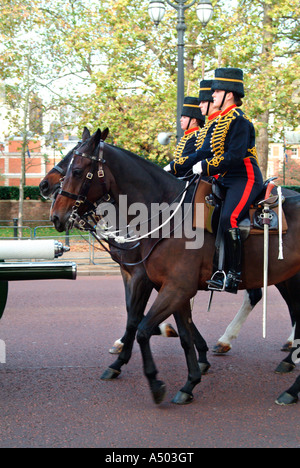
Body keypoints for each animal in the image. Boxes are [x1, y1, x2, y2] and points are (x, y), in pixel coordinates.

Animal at [50, 130, 300, 404]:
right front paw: (190, 380)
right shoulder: (162, 283)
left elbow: (140, 325)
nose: (56, 215)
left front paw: (153, 377)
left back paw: (288, 381)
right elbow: (176, 331)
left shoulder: (166, 284)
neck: (164, 216)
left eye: (77, 170)